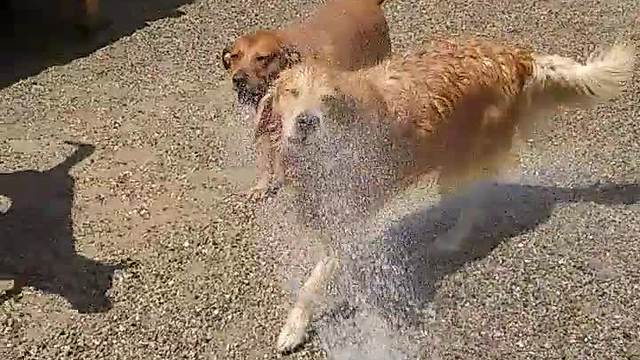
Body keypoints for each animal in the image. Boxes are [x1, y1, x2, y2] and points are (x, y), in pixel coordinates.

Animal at [221, 0, 396, 197]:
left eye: (262, 58)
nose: (238, 79)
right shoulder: (267, 119)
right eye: (235, 56)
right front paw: (263, 185)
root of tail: (367, 3)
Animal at [258, 37, 636, 352]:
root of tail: (516, 57)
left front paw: (294, 328)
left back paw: (451, 239)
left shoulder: (349, 219)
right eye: (291, 92)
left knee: (474, 203)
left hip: (459, 165)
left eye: (329, 100)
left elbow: (313, 283)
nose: (307, 122)